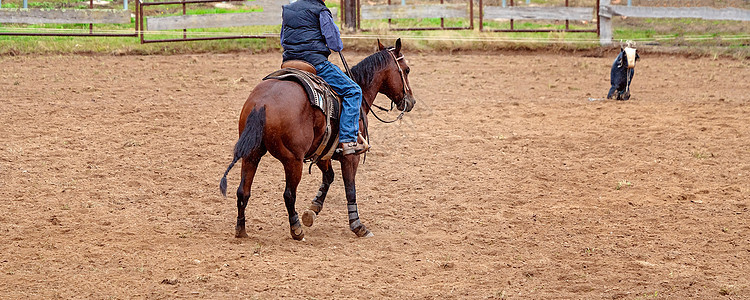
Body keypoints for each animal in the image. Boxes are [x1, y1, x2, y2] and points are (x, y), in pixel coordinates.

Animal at [220, 39, 418, 241]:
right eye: (407, 69)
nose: (411, 101)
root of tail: (262, 103)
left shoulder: (323, 153)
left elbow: (328, 177)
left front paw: (312, 210)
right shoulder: (350, 156)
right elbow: (350, 188)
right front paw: (358, 226)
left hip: (252, 154)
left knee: (243, 191)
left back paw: (241, 229)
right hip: (293, 160)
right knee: (289, 194)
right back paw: (296, 230)